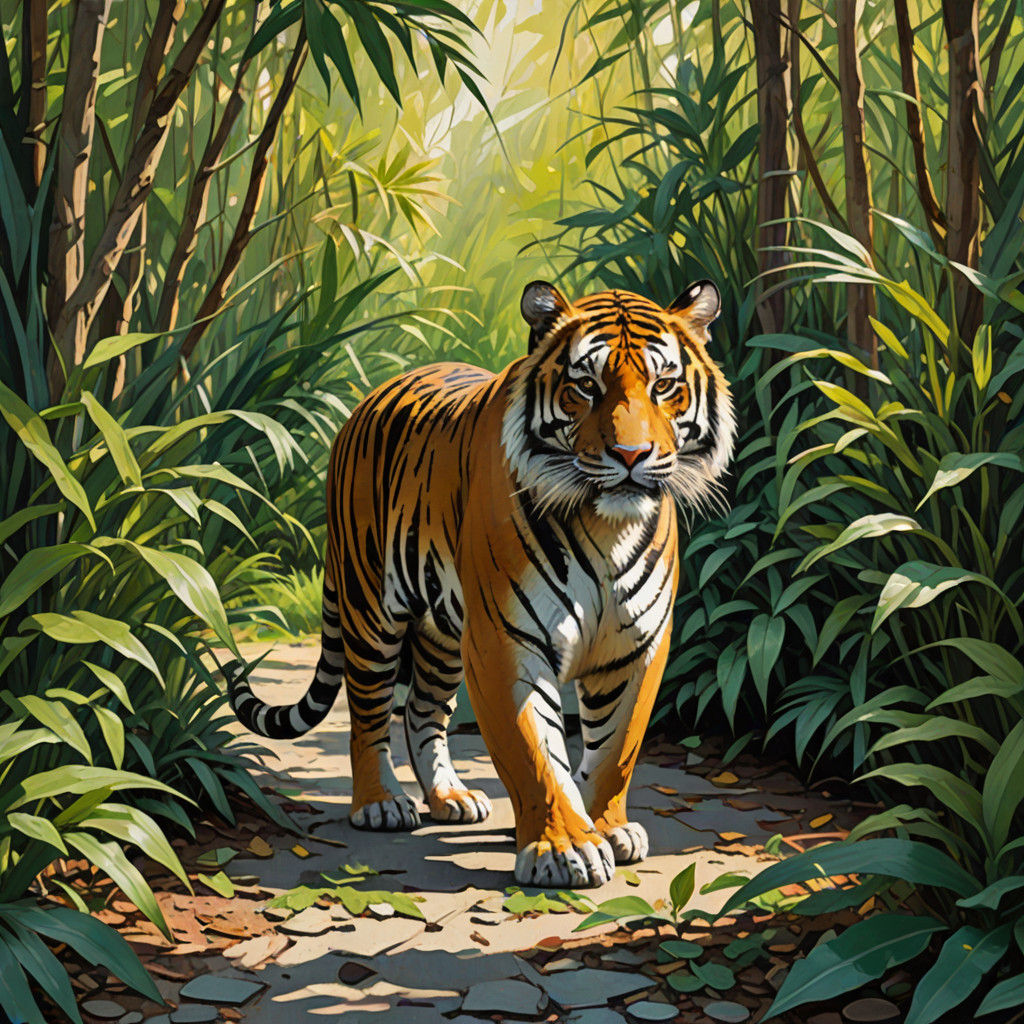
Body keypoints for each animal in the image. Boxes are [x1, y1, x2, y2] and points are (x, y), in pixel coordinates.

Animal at [229, 279, 735, 888]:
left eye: (665, 386)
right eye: (585, 387)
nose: (631, 456)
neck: (604, 525)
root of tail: (367, 401)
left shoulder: (637, 645)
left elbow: (617, 747)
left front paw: (606, 827)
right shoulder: (506, 642)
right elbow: (534, 751)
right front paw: (565, 847)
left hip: (443, 631)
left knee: (422, 710)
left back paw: (449, 797)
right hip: (371, 608)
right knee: (369, 711)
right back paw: (379, 803)